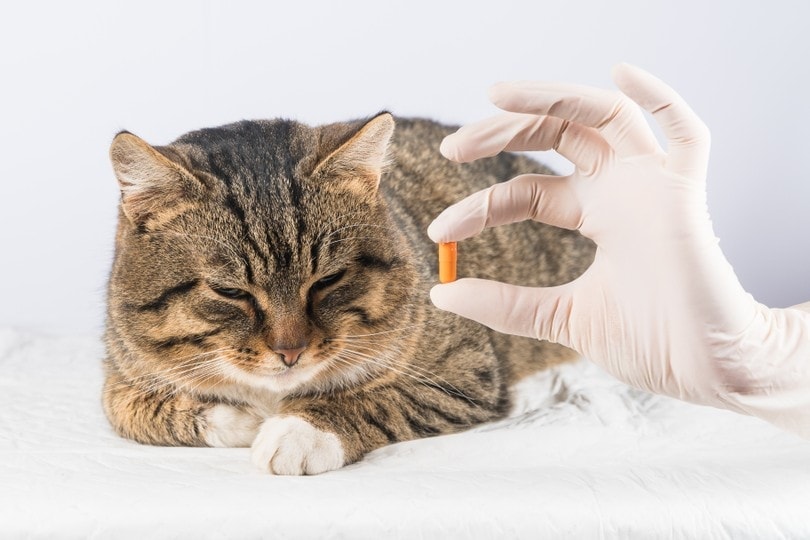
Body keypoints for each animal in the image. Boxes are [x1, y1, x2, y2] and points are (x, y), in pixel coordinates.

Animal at [102, 113, 592, 472]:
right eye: (229, 291)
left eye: (327, 280)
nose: (291, 351)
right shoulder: (120, 371)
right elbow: (128, 410)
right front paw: (244, 417)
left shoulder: (465, 370)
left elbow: (377, 399)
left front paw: (299, 430)